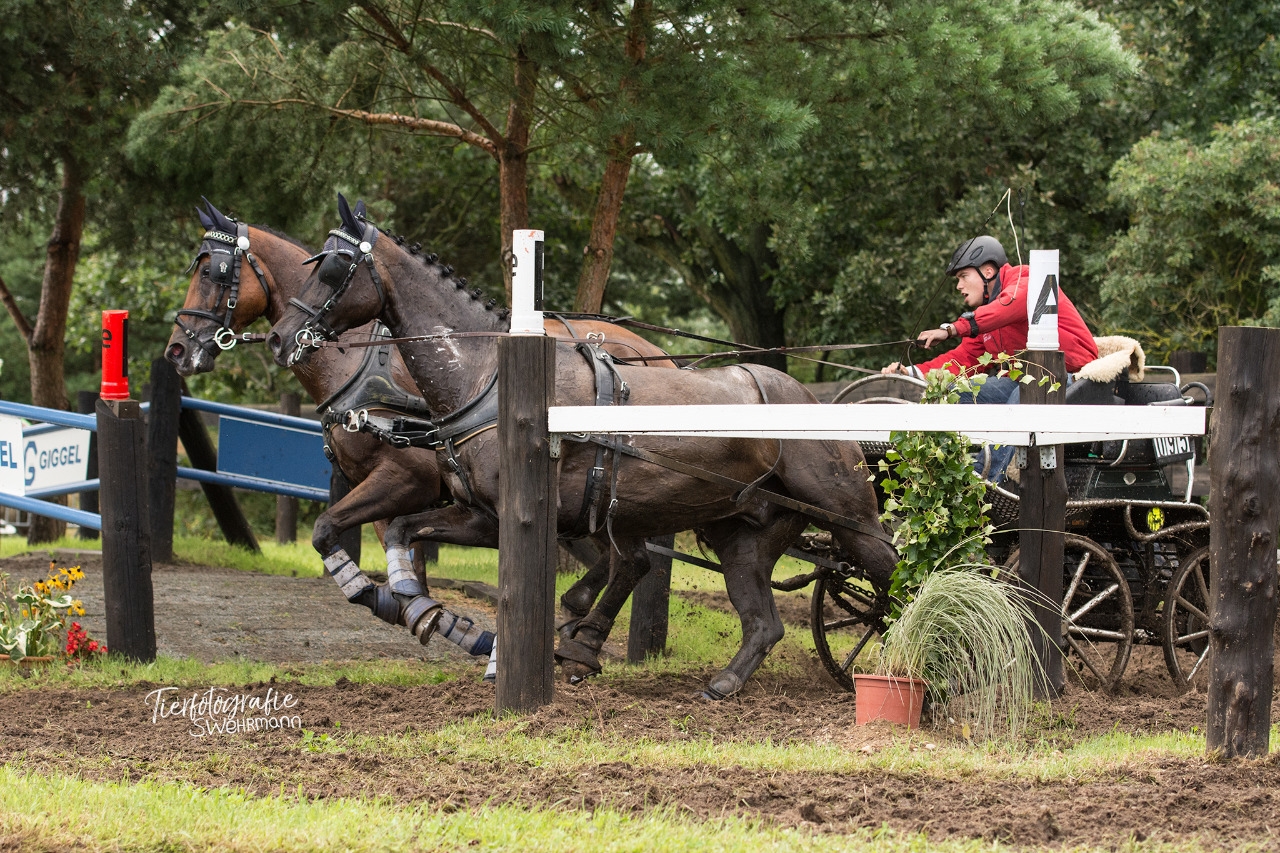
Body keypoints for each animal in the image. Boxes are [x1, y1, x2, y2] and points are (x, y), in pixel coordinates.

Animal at [167, 200, 672, 654]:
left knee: (626, 554)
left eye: (212, 273)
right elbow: (387, 551)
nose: (177, 350)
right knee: (617, 554)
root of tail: (658, 355)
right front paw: (420, 614)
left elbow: (343, 532)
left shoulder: (408, 479)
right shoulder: (385, 488)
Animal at [265, 195, 898, 699]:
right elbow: (402, 533)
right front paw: (417, 609)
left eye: (334, 266)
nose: (278, 338)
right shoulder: (474, 511)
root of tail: (810, 401)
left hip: (848, 517)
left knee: (893, 570)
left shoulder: (513, 516)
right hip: (737, 532)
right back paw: (715, 681)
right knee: (759, 620)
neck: (485, 375)